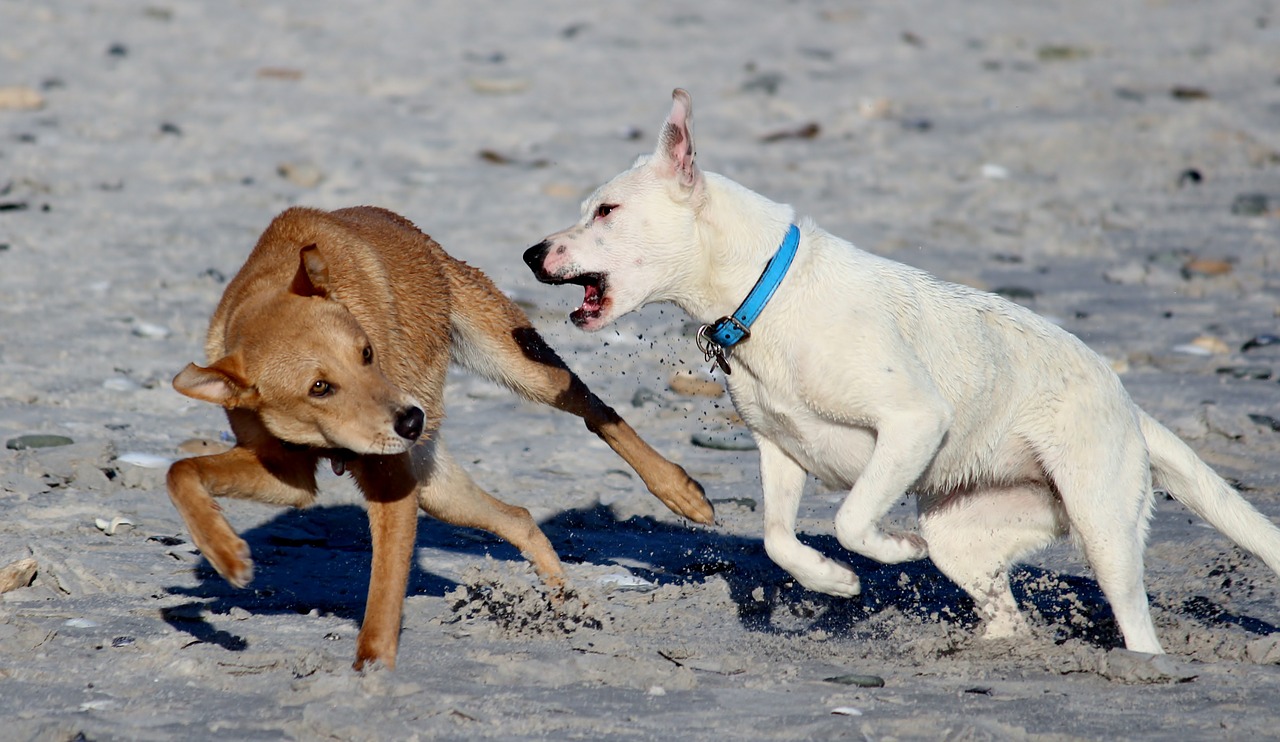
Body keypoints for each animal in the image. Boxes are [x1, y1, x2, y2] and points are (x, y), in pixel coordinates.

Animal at [162, 205, 711, 670]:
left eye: (366, 353)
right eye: (319, 387)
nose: (413, 421)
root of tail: (408, 228)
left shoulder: (392, 487)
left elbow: (384, 596)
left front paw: (371, 676)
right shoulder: (289, 476)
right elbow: (180, 471)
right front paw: (225, 553)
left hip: (523, 367)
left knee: (597, 411)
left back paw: (679, 491)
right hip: (438, 490)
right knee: (520, 519)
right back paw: (565, 603)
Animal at [524, 88, 1280, 655]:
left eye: (606, 210)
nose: (531, 253)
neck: (763, 294)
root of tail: (1129, 404)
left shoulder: (912, 421)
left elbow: (854, 517)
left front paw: (890, 551)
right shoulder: (778, 450)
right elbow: (777, 538)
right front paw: (832, 583)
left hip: (1104, 529)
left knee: (1134, 621)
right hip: (967, 539)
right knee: (1003, 613)